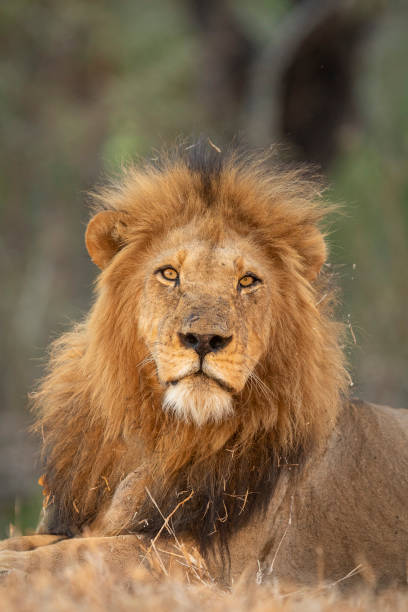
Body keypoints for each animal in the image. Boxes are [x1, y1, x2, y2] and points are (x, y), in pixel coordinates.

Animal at [0, 142, 408, 588]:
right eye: (169, 274)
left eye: (247, 281)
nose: (204, 339)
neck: (164, 435)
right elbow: (42, 542)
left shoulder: (212, 566)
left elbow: (86, 555)